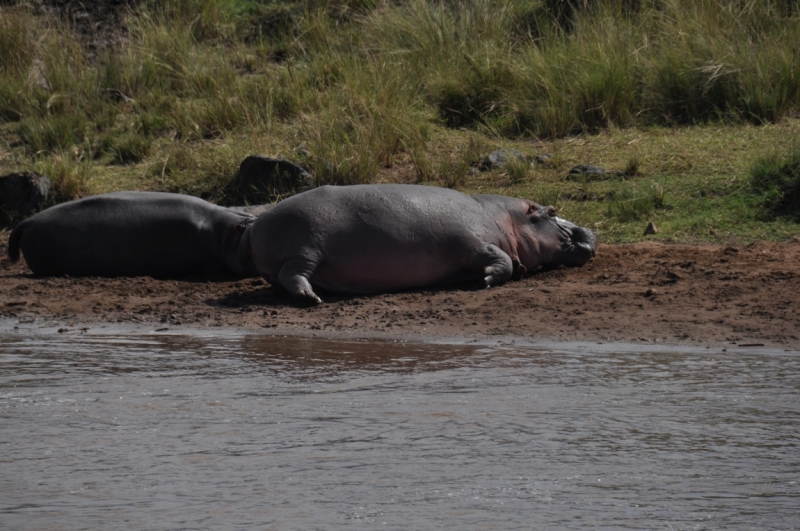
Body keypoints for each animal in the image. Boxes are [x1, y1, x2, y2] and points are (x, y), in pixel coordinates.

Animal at [253, 185, 596, 304]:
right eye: (551, 211)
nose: (590, 230)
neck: (504, 217)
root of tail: (257, 222)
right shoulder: (473, 243)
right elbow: (501, 260)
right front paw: (487, 280)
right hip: (306, 250)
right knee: (293, 274)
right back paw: (311, 299)